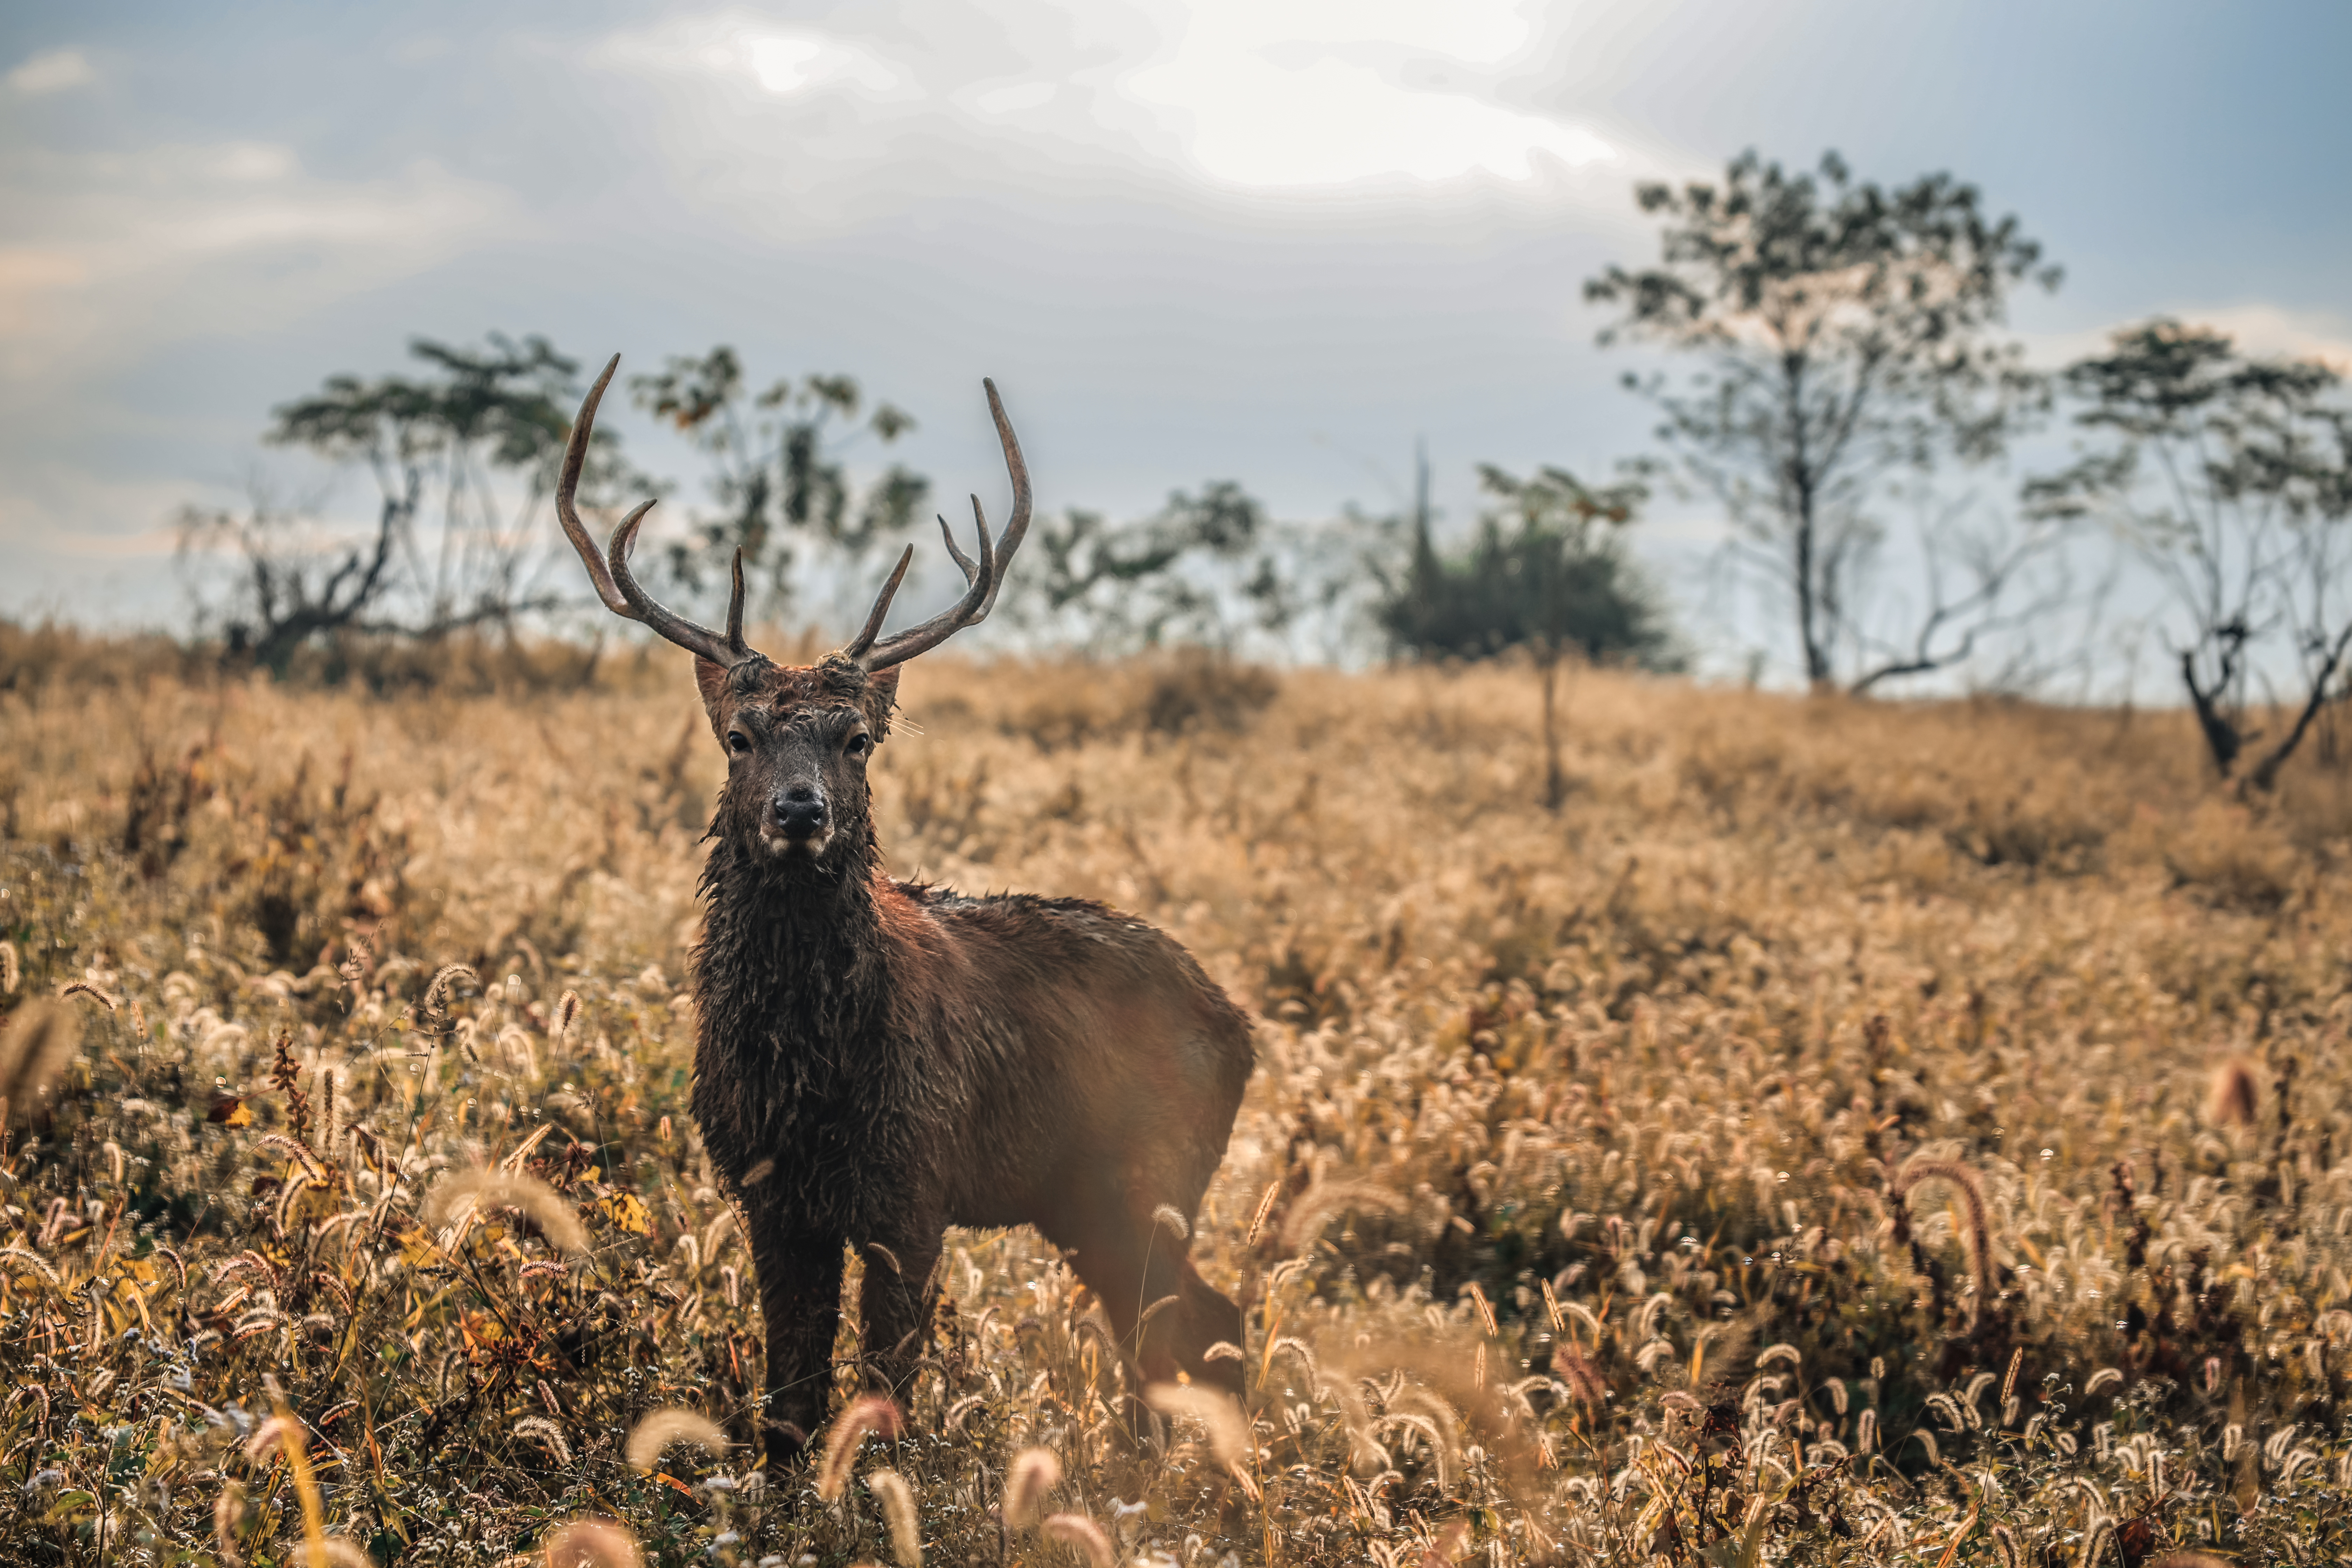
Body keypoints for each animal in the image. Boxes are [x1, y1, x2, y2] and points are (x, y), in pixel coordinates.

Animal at [553, 355, 1260, 1457]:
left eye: (856, 739)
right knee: (1185, 1330)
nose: (801, 812)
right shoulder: (766, 1191)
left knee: (1185, 1332)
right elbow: (790, 1400)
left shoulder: (914, 1184)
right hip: (1089, 1201)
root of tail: (1242, 1031)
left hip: (1156, 1174)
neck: (809, 1071)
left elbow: (885, 1397)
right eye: (741, 737)